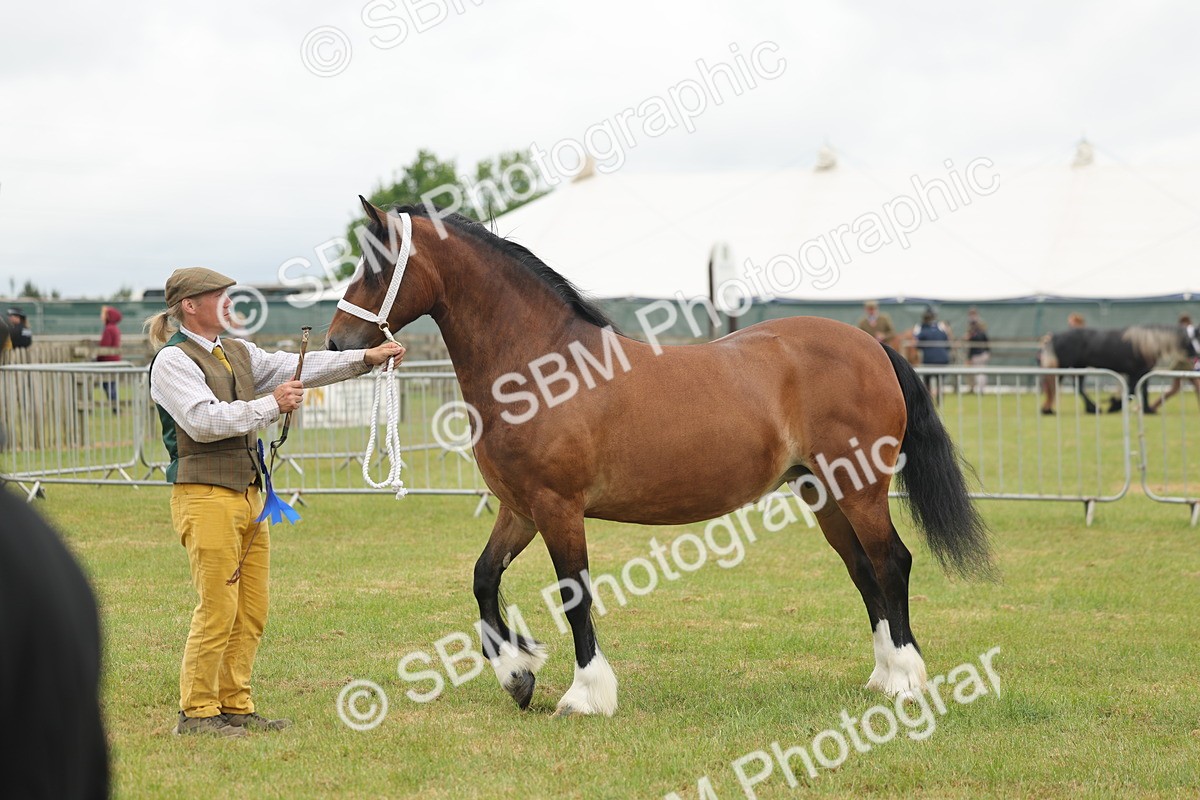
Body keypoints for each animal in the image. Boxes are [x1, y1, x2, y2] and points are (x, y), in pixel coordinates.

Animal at [327, 199, 993, 717]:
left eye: (376, 265)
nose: (335, 342)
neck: (541, 367)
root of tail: (872, 346)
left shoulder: (557, 507)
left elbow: (574, 594)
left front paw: (586, 694)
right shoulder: (519, 507)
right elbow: (484, 579)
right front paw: (518, 674)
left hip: (860, 489)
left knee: (891, 564)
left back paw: (907, 681)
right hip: (822, 492)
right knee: (862, 571)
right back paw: (882, 677)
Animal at [1039, 325, 1199, 415]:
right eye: (1189, 340)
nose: (1197, 354)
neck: (1146, 343)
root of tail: (1055, 336)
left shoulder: (1143, 372)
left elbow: (1142, 390)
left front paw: (1147, 409)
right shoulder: (1135, 372)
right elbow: (1132, 390)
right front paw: (1115, 406)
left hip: (1080, 366)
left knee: (1076, 387)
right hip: (1065, 366)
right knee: (1056, 386)